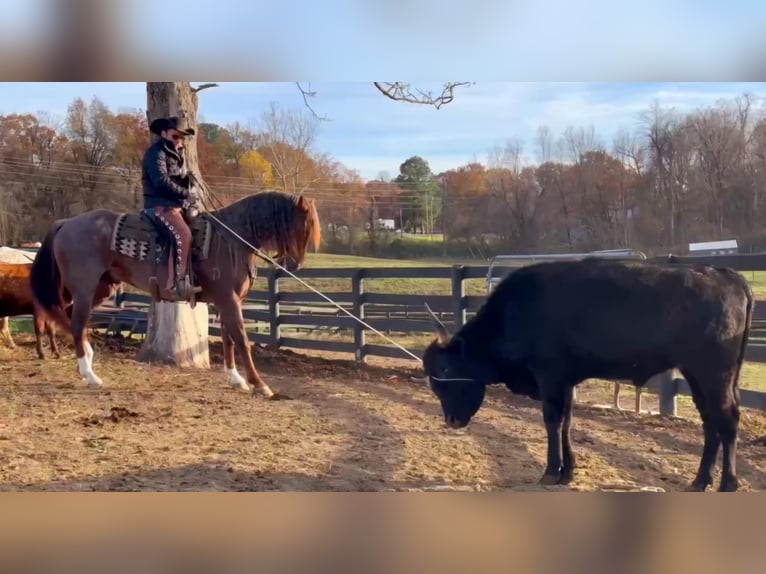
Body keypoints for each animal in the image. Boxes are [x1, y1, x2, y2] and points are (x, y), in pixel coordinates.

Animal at [30, 191, 322, 398]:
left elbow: (228, 339)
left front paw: (236, 379)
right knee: (76, 324)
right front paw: (259, 384)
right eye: (302, 226)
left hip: (99, 289)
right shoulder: (229, 300)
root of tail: (66, 222)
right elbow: (241, 339)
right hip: (85, 288)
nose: (294, 265)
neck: (232, 239)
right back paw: (90, 375)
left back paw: (87, 360)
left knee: (69, 319)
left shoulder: (226, 301)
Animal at [420, 258, 756, 492]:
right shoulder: (566, 381)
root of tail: (725, 274)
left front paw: (550, 472)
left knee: (727, 419)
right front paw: (568, 472)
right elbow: (567, 423)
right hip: (697, 374)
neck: (515, 312)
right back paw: (701, 480)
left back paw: (728, 482)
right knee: (710, 422)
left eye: (446, 370)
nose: (451, 421)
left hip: (714, 373)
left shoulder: (550, 377)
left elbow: (552, 421)